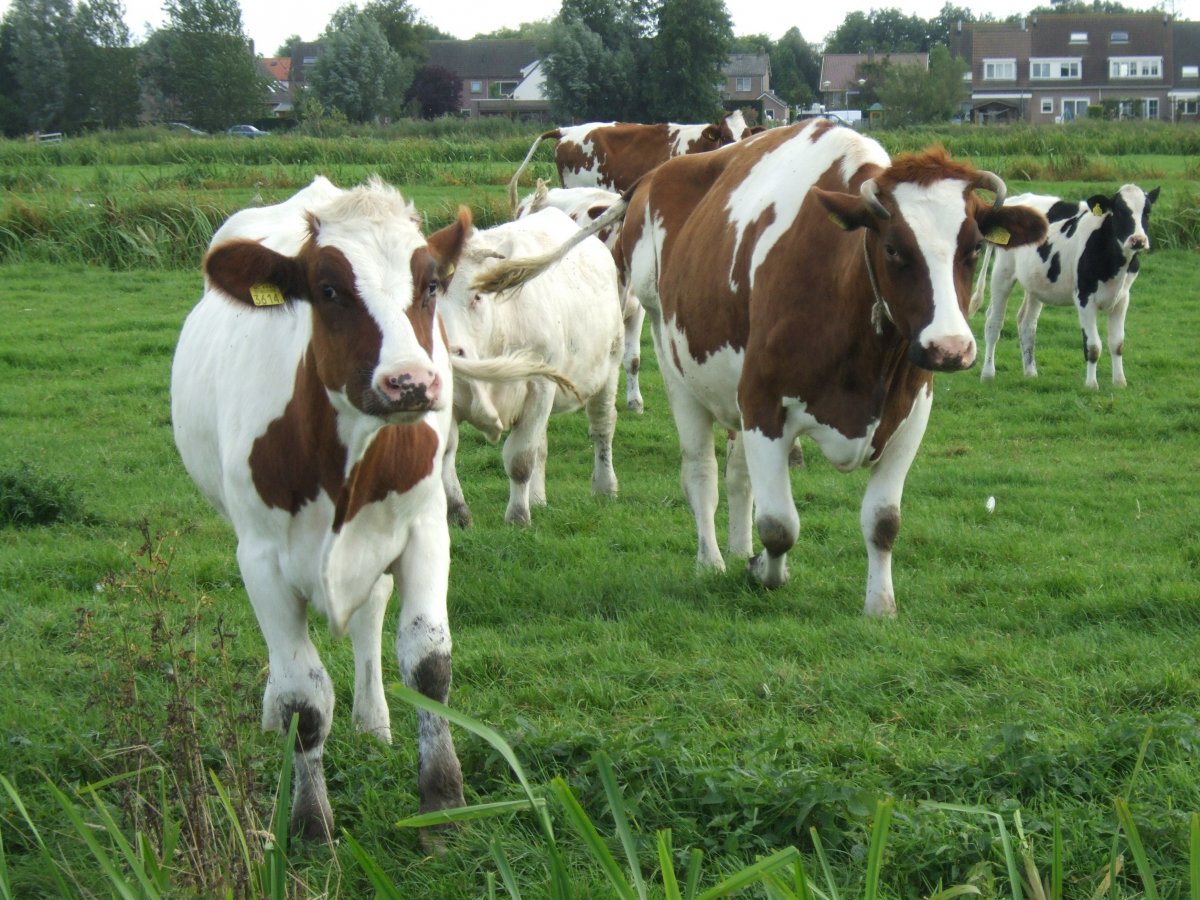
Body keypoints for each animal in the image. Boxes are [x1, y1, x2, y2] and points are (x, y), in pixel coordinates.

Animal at [477, 123, 1051, 619]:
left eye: (973, 249)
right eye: (893, 248)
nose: (950, 349)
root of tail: (656, 176)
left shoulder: (910, 415)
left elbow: (884, 522)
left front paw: (880, 605)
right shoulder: (763, 404)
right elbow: (779, 525)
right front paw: (764, 572)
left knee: (737, 475)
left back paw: (736, 545)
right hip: (671, 353)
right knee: (703, 472)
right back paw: (713, 559)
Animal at [974, 184, 1161, 388]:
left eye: (1147, 211)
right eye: (1119, 211)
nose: (1138, 240)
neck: (1115, 264)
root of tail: (1015, 200)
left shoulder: (1122, 298)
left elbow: (1117, 344)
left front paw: (1119, 382)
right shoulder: (1084, 298)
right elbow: (1093, 346)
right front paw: (1091, 385)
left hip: (1035, 282)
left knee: (1027, 324)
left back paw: (1031, 373)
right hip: (1003, 273)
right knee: (994, 323)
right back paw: (987, 374)